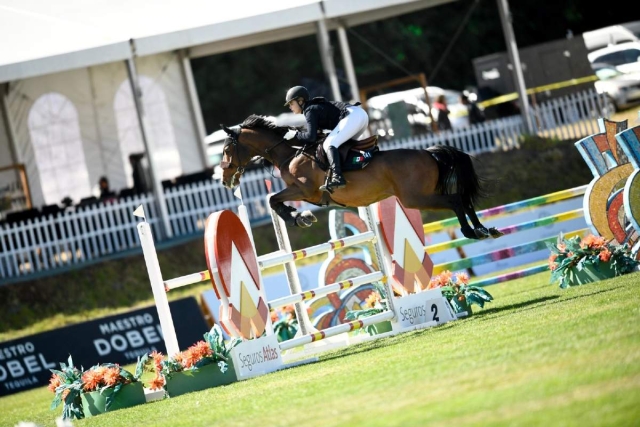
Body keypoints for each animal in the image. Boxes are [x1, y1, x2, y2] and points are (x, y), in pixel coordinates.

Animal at [220, 113, 504, 241]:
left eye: (226, 150)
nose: (224, 179)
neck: (290, 154)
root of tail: (428, 153)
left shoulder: (305, 191)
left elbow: (272, 199)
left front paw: (298, 218)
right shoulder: (305, 194)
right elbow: (275, 200)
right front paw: (301, 216)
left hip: (415, 197)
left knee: (456, 201)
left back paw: (471, 232)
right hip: (423, 193)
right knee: (463, 199)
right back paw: (485, 229)